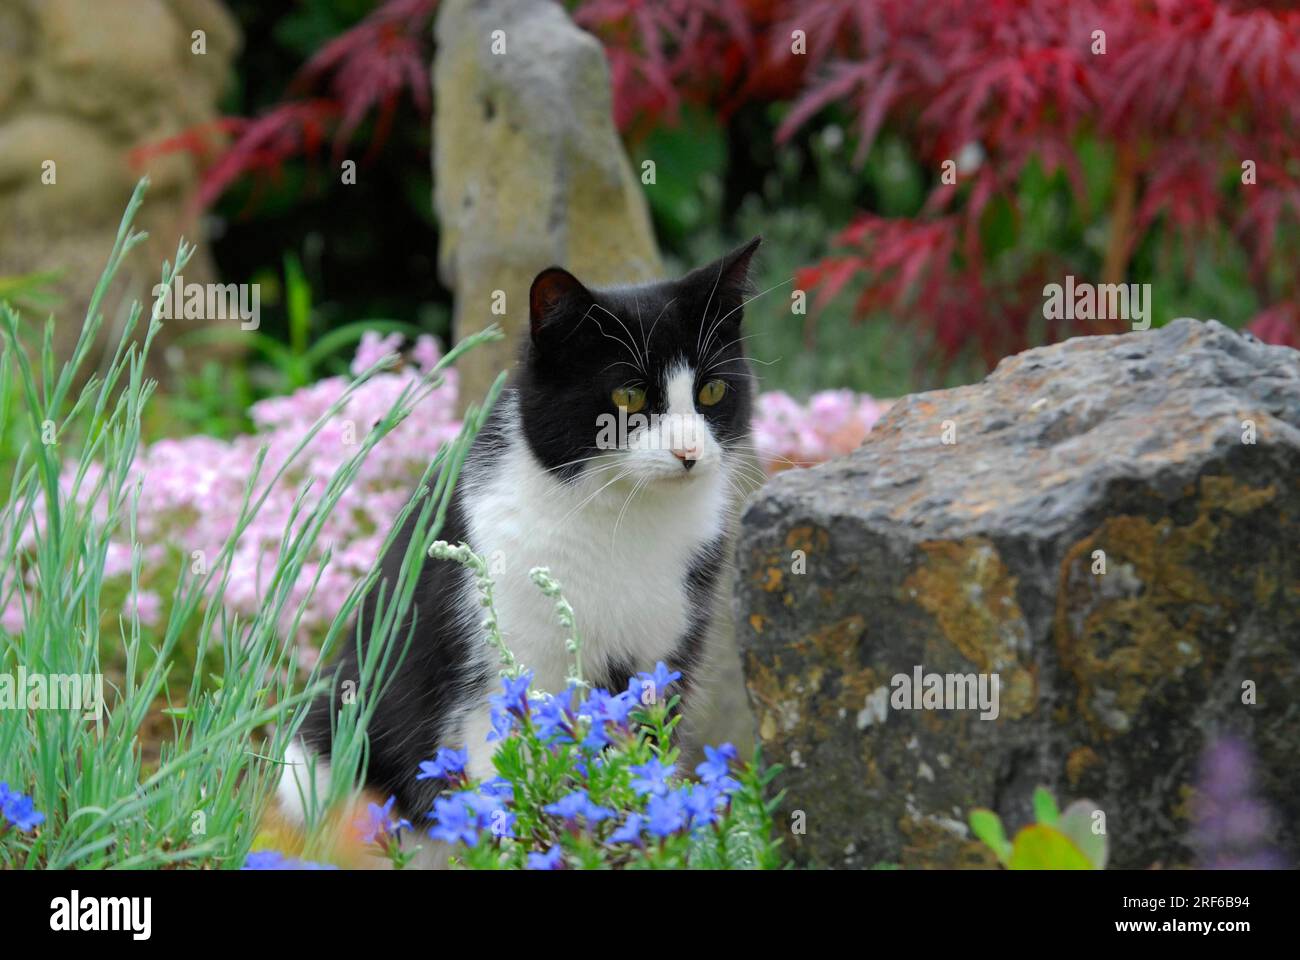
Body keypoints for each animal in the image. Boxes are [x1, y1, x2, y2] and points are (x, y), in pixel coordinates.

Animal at [276, 238, 759, 822]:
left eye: (712, 391)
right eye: (628, 397)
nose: (689, 452)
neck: (623, 516)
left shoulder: (663, 661)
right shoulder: (495, 679)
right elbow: (502, 787)